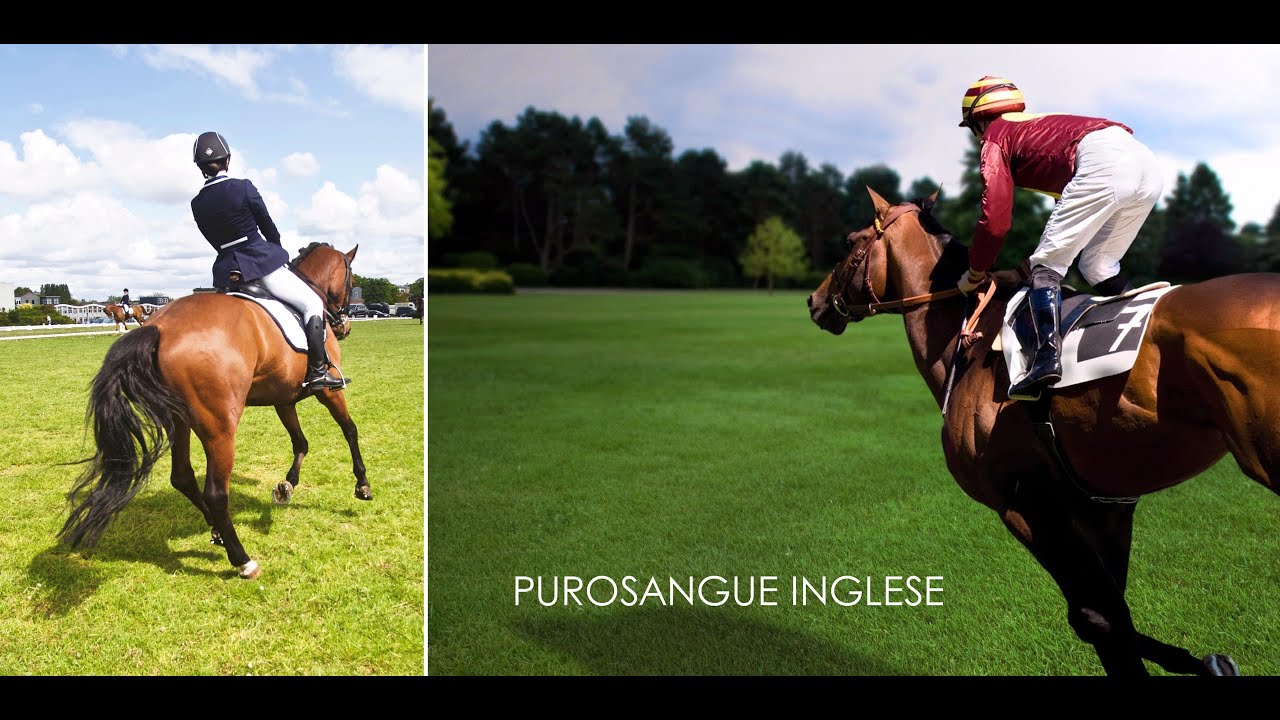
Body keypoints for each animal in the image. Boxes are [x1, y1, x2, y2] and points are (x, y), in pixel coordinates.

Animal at [60, 243, 370, 580]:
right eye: (352, 281)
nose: (345, 327)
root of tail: (160, 326)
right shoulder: (328, 391)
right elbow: (350, 429)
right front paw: (362, 485)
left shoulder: (283, 399)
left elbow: (300, 442)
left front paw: (287, 486)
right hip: (220, 428)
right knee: (216, 492)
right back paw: (243, 560)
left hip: (178, 420)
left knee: (182, 477)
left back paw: (218, 532)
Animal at [806, 186, 1274, 676]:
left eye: (849, 242)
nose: (814, 301)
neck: (968, 343)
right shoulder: (1105, 506)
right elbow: (1112, 609)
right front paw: (1211, 662)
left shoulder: (1024, 502)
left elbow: (1095, 617)